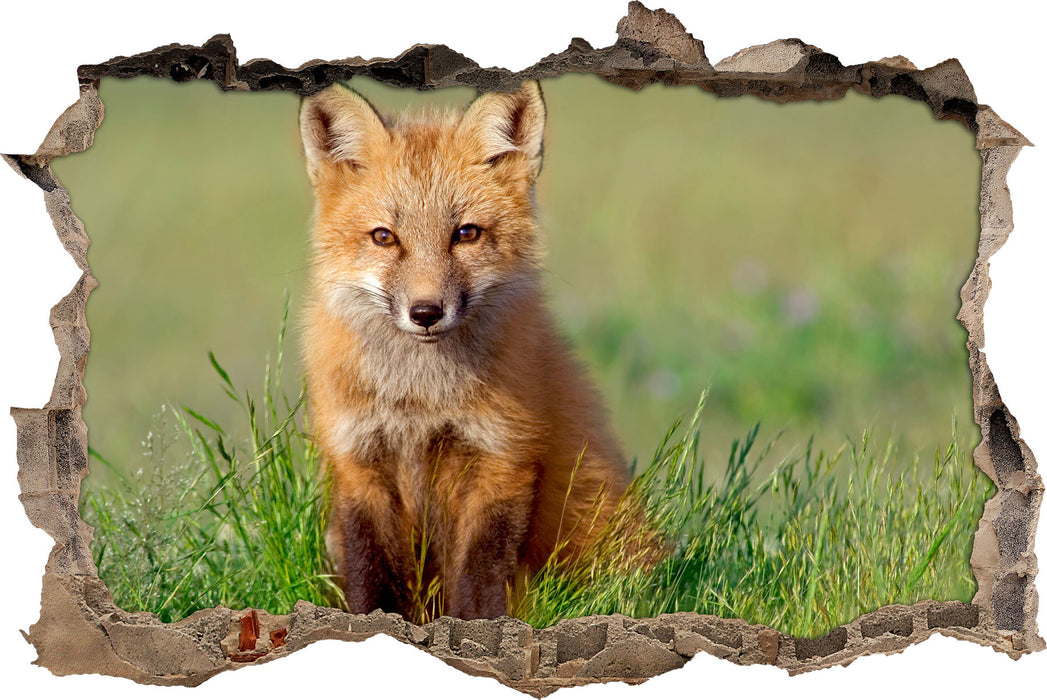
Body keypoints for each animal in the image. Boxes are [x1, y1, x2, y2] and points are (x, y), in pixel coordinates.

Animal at [298, 80, 632, 622]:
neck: (420, 401)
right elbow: (371, 572)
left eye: (466, 233)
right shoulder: (357, 461)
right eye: (384, 237)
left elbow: (478, 575)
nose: (426, 312)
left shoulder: (503, 457)